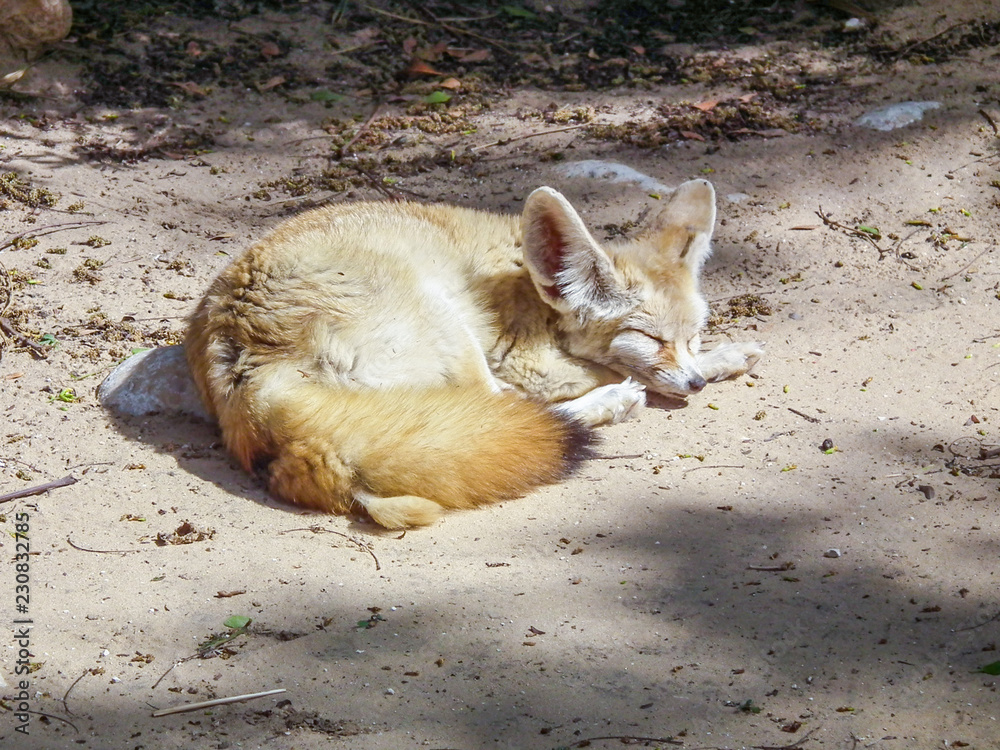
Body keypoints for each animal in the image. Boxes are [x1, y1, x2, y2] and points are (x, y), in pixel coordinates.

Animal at [184, 178, 763, 529]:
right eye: (652, 339)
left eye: (693, 335)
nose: (696, 386)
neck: (528, 285)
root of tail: (244, 359)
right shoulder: (528, 362)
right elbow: (604, 371)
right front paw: (650, 381)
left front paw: (725, 357)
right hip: (445, 321)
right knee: (512, 408)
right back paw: (611, 403)